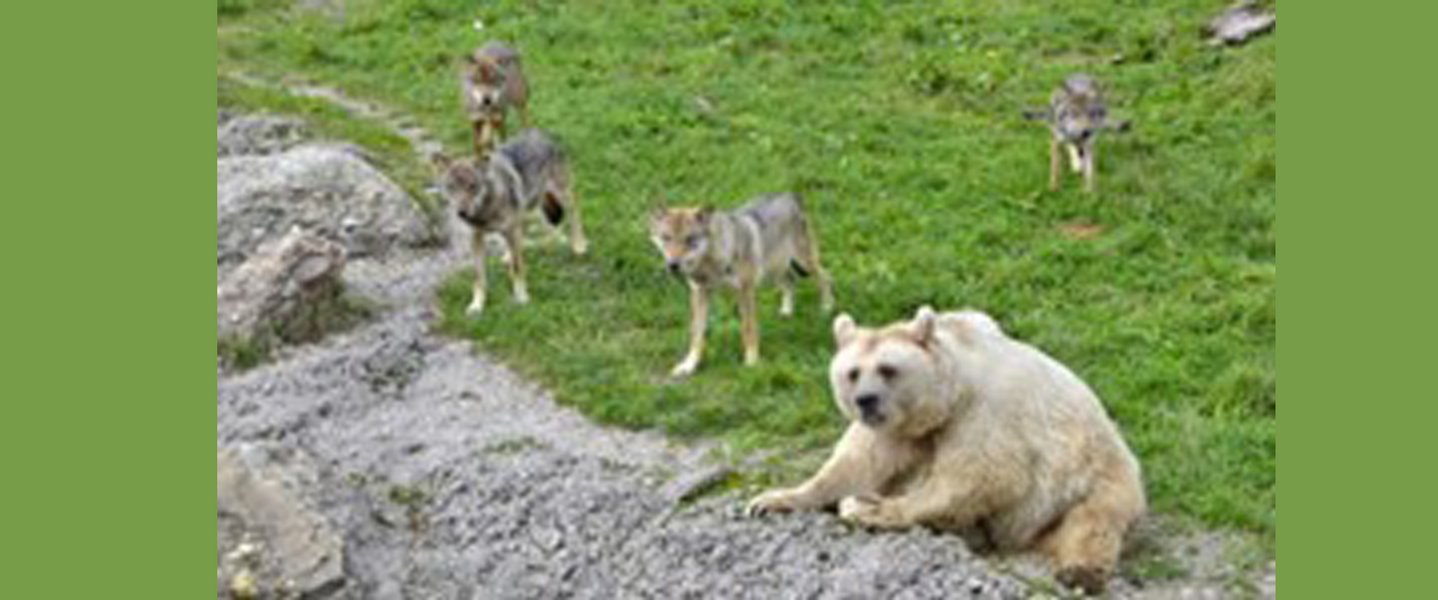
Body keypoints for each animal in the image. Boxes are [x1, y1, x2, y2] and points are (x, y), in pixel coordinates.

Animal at [428, 128, 586, 315]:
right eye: (451, 187)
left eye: (473, 186)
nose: (462, 213)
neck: (486, 210)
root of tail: (538, 131)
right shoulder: (476, 238)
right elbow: (479, 276)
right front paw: (477, 305)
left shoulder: (510, 230)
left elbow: (518, 267)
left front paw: (521, 297)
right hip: (529, 207)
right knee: (528, 228)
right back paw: (509, 255)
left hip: (561, 195)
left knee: (574, 214)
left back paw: (578, 246)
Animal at [649, 191, 839, 376]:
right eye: (666, 238)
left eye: (690, 239)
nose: (673, 265)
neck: (713, 265)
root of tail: (791, 196)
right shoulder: (699, 293)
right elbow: (696, 333)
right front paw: (689, 365)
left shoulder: (745, 291)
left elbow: (748, 329)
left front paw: (751, 361)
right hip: (775, 270)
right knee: (789, 282)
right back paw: (786, 311)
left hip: (804, 263)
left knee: (826, 276)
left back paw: (827, 307)